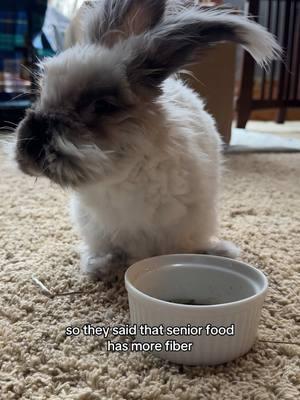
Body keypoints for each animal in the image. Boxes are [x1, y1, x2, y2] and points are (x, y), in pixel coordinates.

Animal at [10, 0, 280, 280]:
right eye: (42, 95)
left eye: (103, 106)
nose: (28, 147)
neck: (119, 175)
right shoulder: (99, 229)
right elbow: (109, 250)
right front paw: (99, 267)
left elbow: (179, 248)